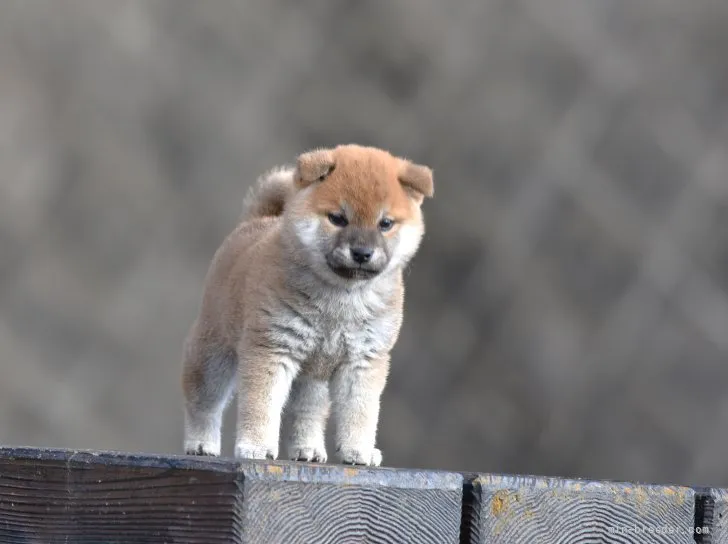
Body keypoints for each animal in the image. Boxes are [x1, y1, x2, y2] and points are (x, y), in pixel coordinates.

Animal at [182, 142, 432, 466]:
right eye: (338, 218)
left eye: (385, 223)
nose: (362, 252)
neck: (340, 298)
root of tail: (256, 221)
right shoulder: (272, 348)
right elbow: (261, 406)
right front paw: (255, 446)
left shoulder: (364, 359)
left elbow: (361, 412)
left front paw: (359, 450)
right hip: (213, 357)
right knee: (203, 404)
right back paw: (200, 444)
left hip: (313, 379)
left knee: (308, 415)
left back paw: (308, 449)